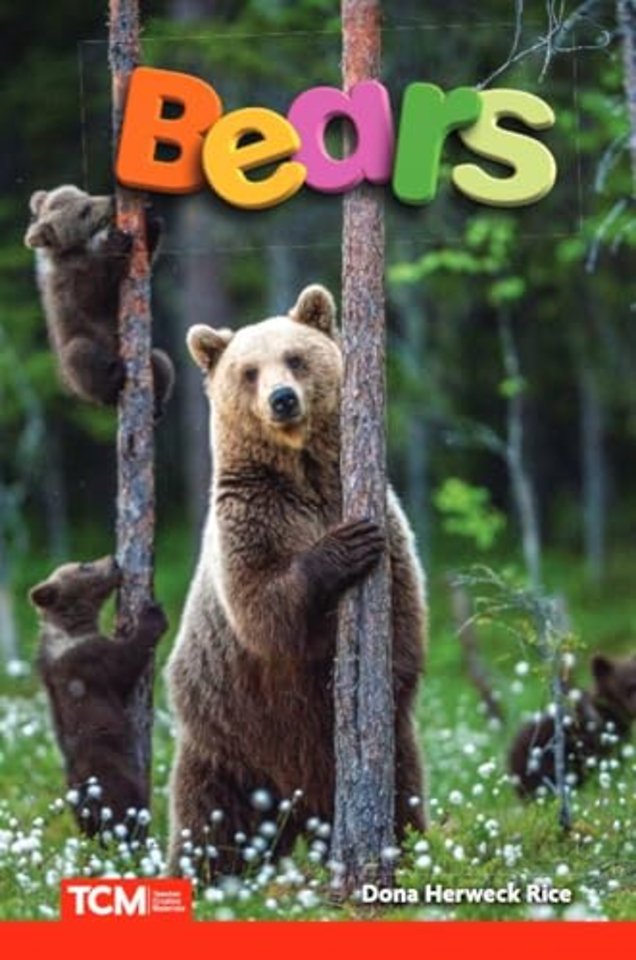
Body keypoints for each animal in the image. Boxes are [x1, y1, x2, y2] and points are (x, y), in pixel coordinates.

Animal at [24, 184, 174, 419]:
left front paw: (150, 221)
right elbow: (94, 295)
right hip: (75, 362)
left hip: (149, 360)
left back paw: (157, 404)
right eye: (83, 211)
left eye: (85, 194)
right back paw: (113, 379)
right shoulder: (70, 283)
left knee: (161, 360)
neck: (80, 249)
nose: (112, 200)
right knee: (80, 354)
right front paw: (117, 242)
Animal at [30, 556, 168, 836]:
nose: (113, 560)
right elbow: (126, 662)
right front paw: (152, 615)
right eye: (84, 566)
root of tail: (87, 801)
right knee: (128, 806)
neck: (71, 627)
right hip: (113, 774)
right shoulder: (89, 660)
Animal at [166, 284, 427, 877]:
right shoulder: (251, 518)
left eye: (295, 358)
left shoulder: (380, 513)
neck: (302, 473)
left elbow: (402, 612)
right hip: (228, 740)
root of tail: (298, 805)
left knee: (403, 794)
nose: (282, 398)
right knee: (210, 824)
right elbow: (263, 607)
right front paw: (344, 547)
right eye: (248, 370)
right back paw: (203, 875)